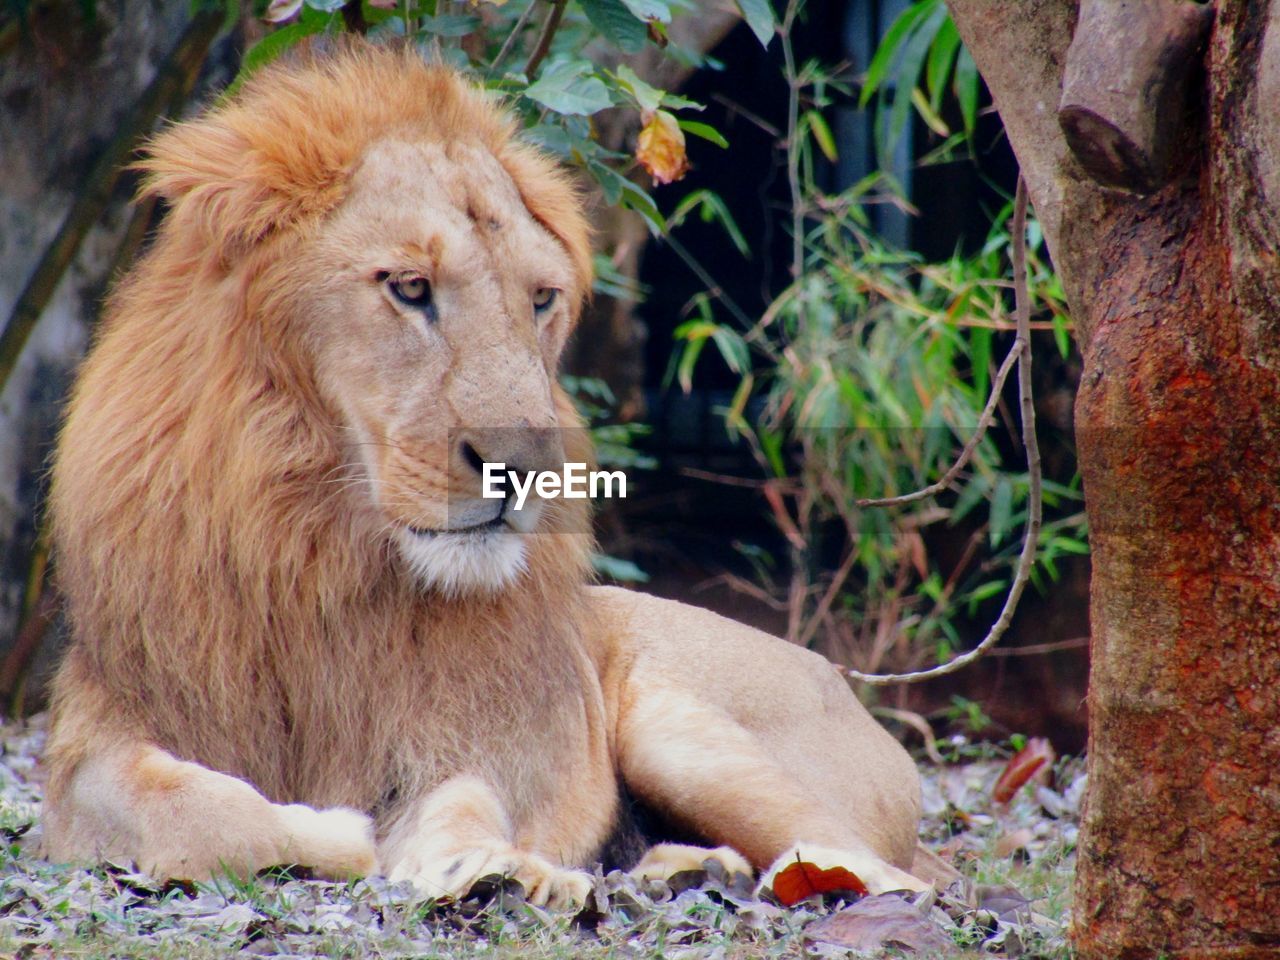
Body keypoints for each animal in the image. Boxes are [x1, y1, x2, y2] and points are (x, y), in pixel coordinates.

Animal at [40, 39, 947, 911]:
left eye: (541, 299)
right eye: (411, 287)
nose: (531, 470)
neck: (318, 549)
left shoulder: (467, 737)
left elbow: (465, 796)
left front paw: (492, 866)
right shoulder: (95, 736)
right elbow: (195, 809)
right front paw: (342, 833)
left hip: (678, 723)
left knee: (886, 872)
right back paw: (678, 871)